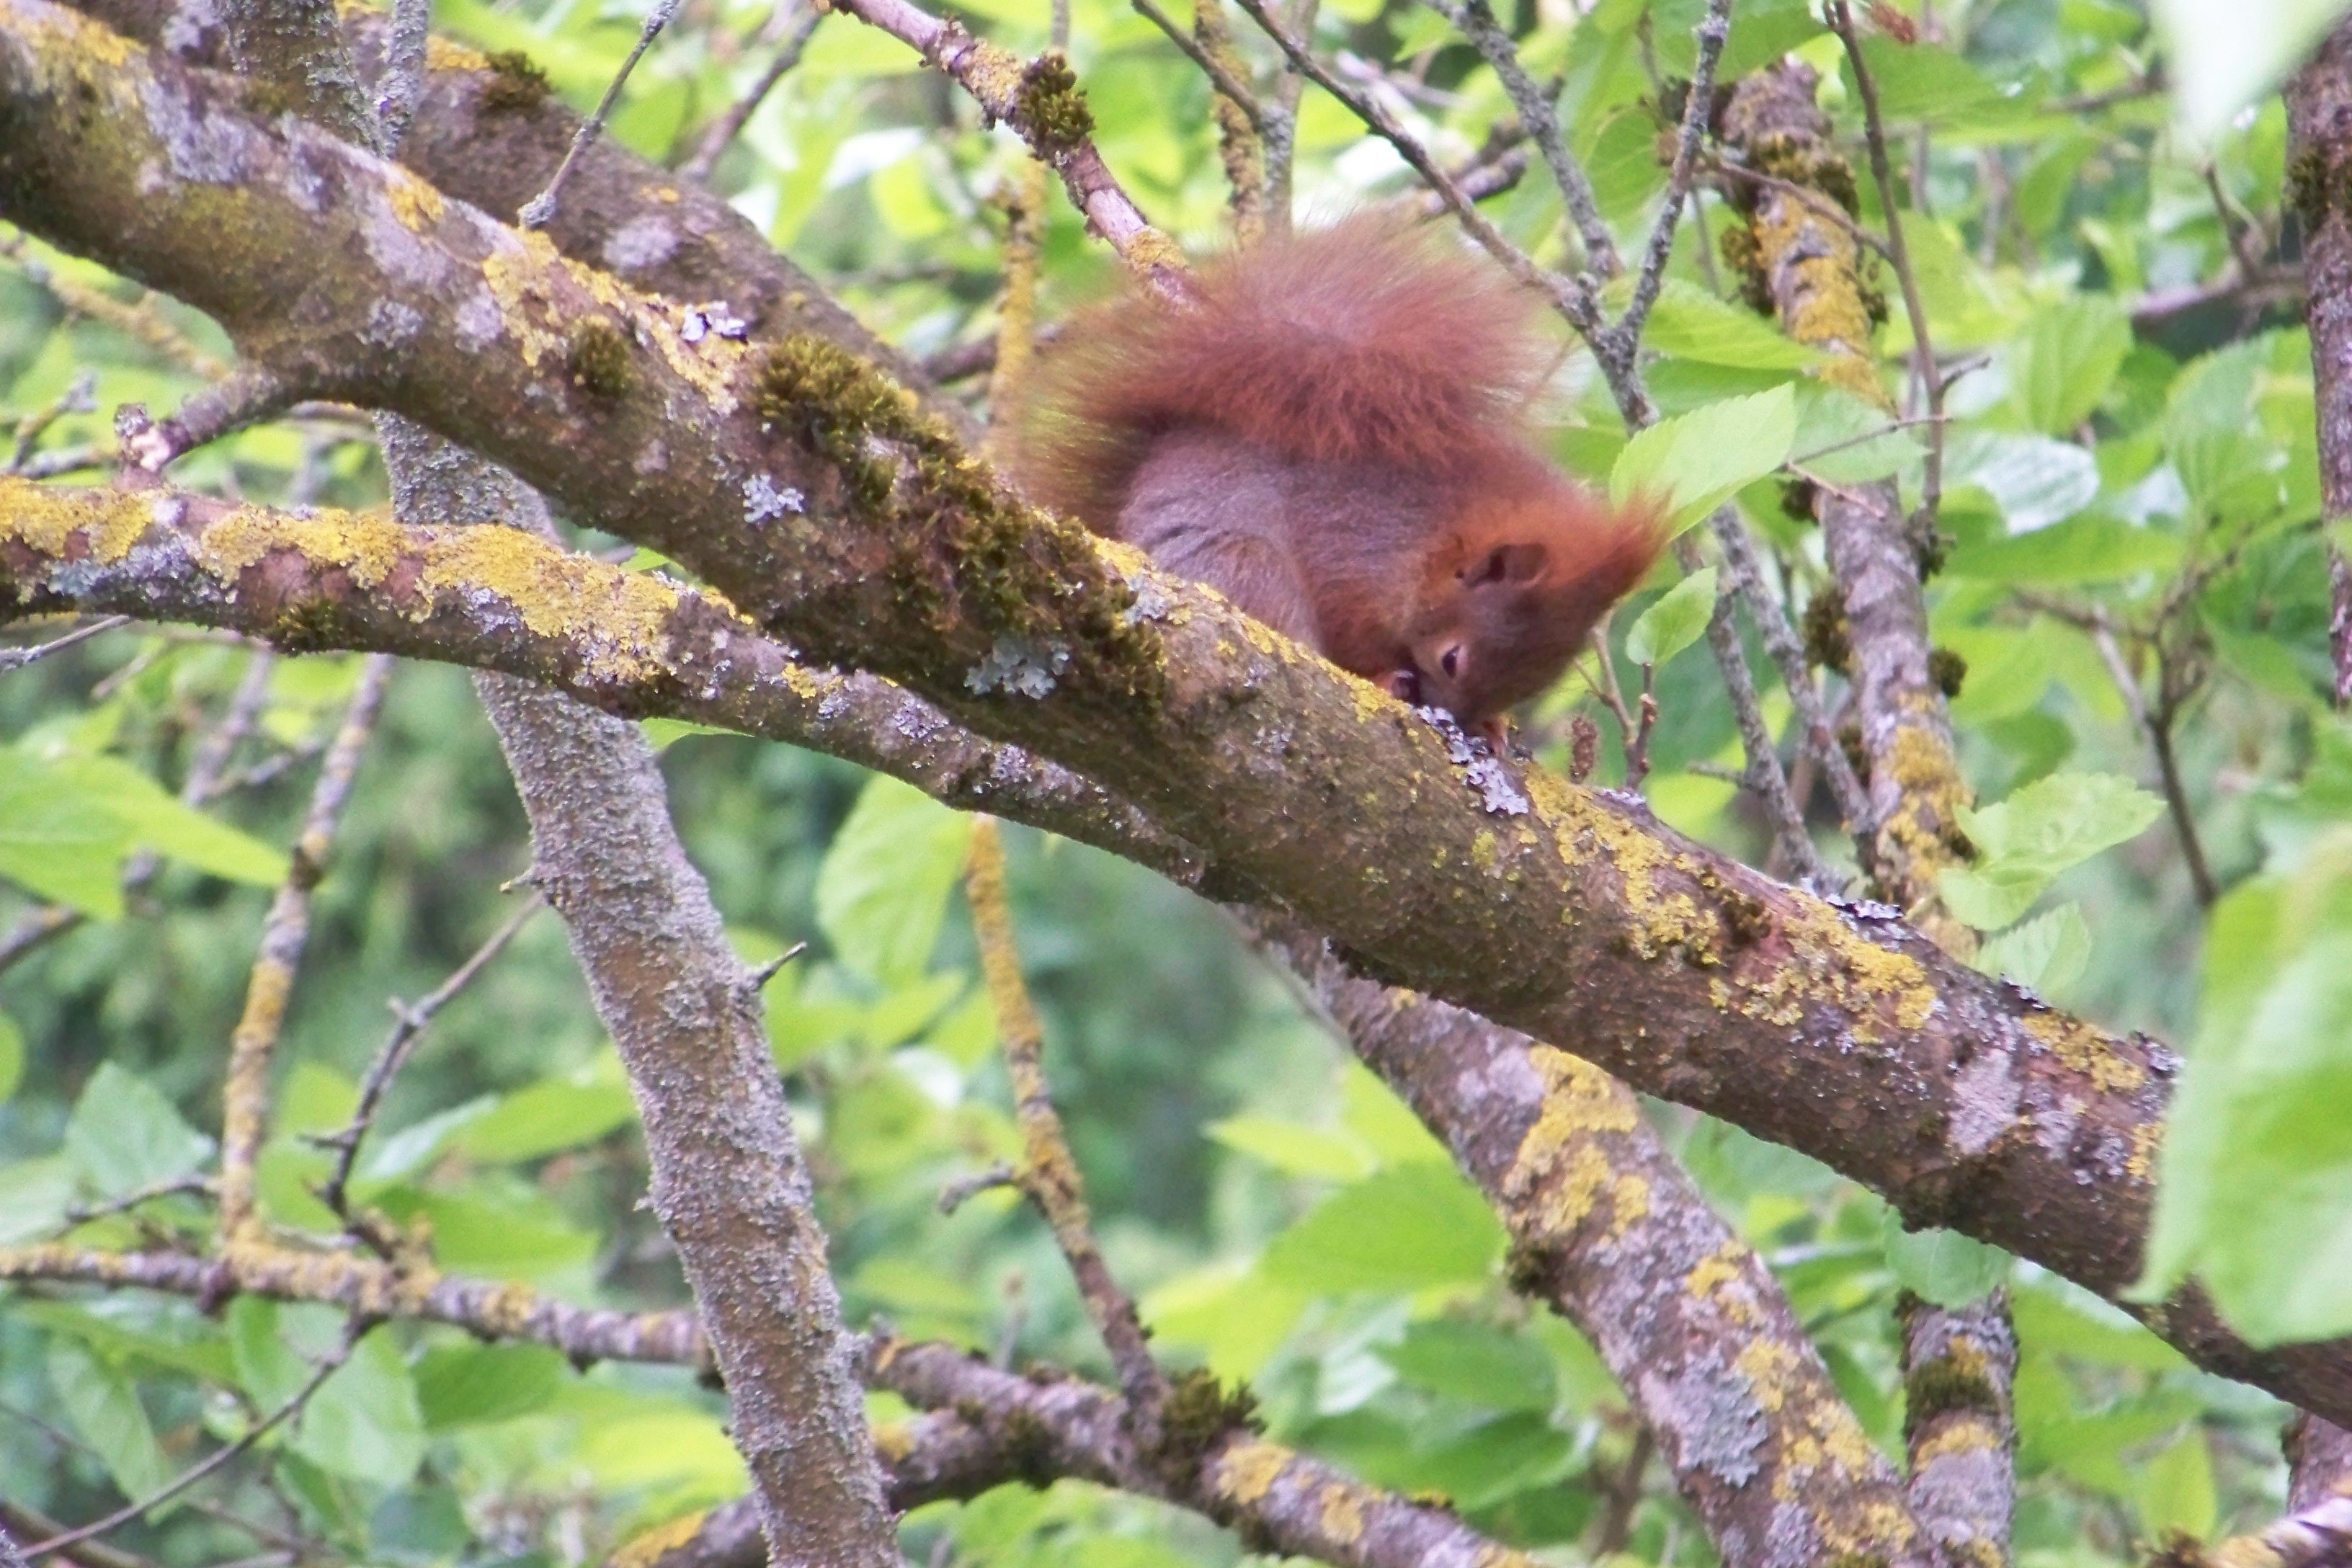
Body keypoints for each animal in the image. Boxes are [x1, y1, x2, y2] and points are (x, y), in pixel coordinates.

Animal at [1020, 215, 1665, 747]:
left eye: (1530, 686)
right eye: (1452, 661)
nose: (1461, 721)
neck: (1429, 535)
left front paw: (1496, 725)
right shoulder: (1347, 555)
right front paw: (1381, 678)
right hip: (1243, 567)